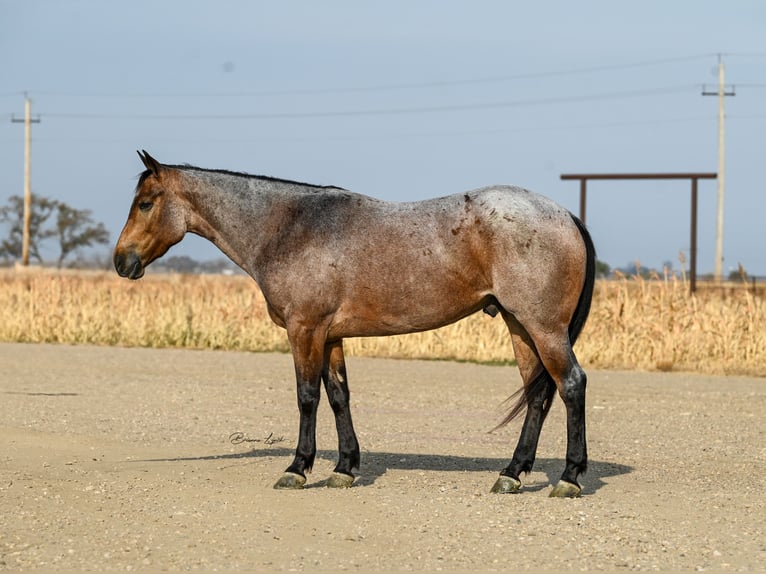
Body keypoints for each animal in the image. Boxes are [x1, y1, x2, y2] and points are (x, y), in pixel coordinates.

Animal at [114, 152, 596, 500]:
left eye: (145, 203)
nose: (121, 261)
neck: (289, 226)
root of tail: (564, 215)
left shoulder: (304, 330)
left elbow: (307, 397)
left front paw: (297, 468)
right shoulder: (330, 336)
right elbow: (338, 397)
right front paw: (344, 468)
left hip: (543, 327)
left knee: (571, 384)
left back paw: (569, 477)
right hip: (521, 326)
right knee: (538, 395)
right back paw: (511, 474)